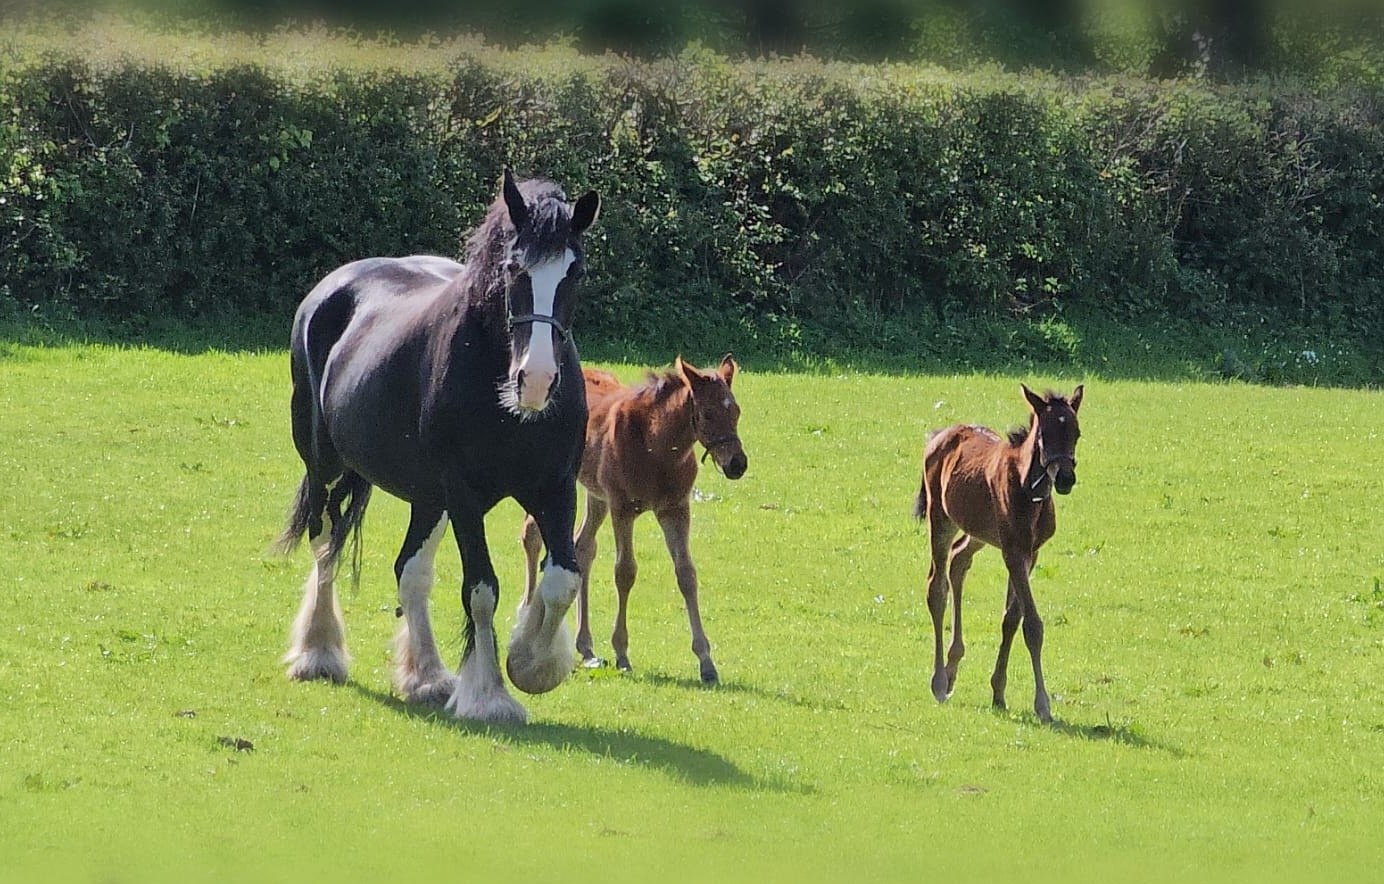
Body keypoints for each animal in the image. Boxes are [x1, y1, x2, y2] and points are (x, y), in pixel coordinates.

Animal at [279, 171, 600, 724]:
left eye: (574, 271)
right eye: (514, 267)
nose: (536, 380)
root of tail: (331, 289)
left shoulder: (555, 487)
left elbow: (562, 579)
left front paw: (532, 662)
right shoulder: (465, 496)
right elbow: (482, 589)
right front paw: (490, 694)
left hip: (428, 498)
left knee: (412, 573)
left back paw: (426, 676)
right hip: (325, 466)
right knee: (325, 542)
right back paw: (319, 652)